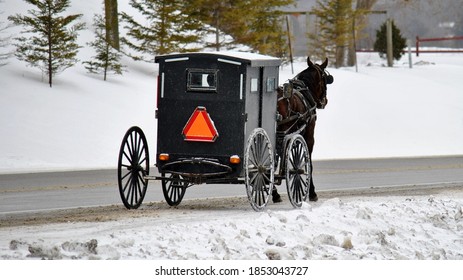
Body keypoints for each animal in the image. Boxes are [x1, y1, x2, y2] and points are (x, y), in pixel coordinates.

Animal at [274, 55, 336, 202]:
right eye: (325, 79)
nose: (325, 101)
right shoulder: (308, 134)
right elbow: (309, 164)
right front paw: (312, 192)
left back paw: (273, 193)